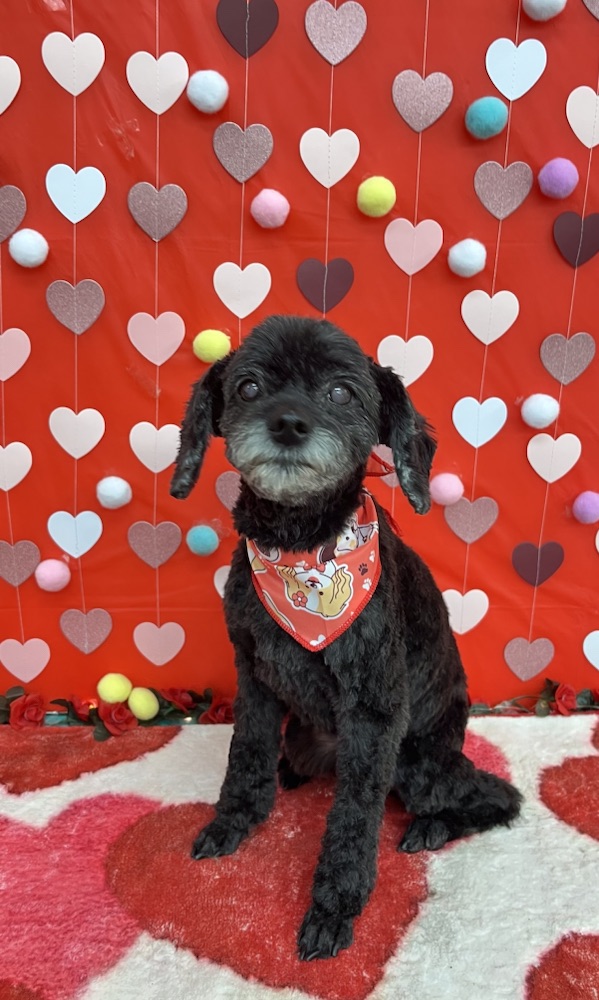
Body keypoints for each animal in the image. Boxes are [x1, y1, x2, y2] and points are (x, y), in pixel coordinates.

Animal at [170, 314, 522, 961]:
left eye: (340, 393)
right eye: (249, 387)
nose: (288, 423)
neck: (301, 547)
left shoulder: (375, 712)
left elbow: (355, 817)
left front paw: (334, 908)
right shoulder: (254, 677)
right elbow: (245, 756)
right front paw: (233, 823)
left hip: (418, 761)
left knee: (496, 797)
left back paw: (431, 827)